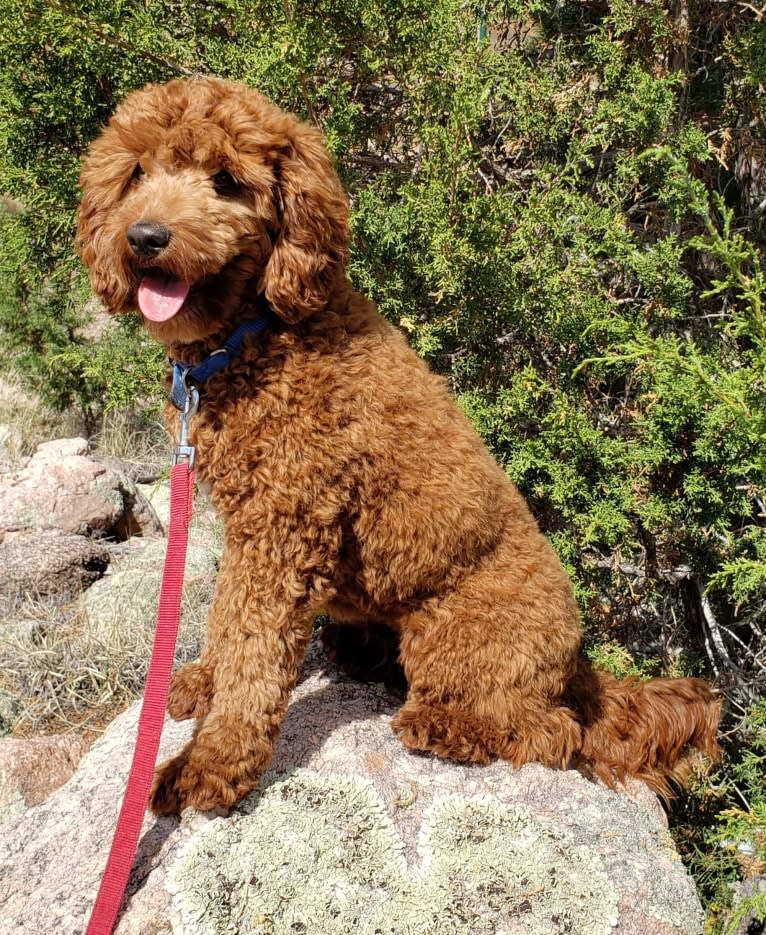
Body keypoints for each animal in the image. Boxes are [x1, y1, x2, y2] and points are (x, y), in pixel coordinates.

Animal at [76, 77, 720, 816]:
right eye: (136, 173)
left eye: (226, 181)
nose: (145, 237)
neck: (255, 336)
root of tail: (581, 667)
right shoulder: (248, 527)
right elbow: (227, 625)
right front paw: (205, 680)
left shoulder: (283, 527)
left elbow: (253, 648)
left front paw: (211, 761)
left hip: (455, 634)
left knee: (548, 731)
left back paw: (444, 723)